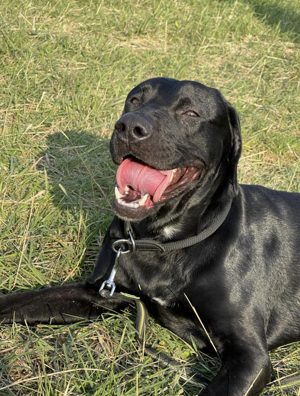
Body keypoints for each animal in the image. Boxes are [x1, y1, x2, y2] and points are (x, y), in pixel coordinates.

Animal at [0, 76, 300, 392]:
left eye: (191, 113)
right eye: (134, 100)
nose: (130, 126)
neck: (164, 244)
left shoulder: (249, 354)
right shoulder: (99, 292)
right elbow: (21, 301)